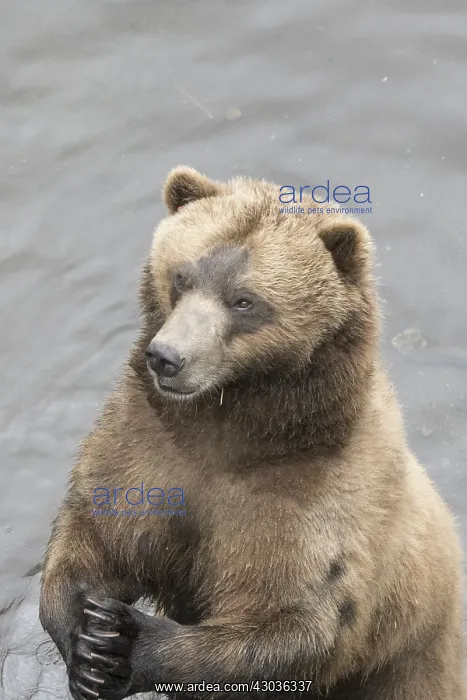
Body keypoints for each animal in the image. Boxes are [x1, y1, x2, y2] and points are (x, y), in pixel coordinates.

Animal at [39, 167, 465, 700]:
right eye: (182, 276)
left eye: (244, 301)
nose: (167, 357)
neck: (233, 425)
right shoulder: (145, 445)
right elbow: (95, 535)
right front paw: (90, 644)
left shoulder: (313, 503)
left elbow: (289, 626)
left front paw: (132, 642)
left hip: (412, 669)